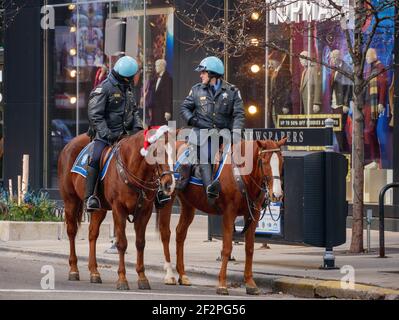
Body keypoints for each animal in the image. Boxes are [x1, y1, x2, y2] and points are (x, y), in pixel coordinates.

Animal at [57, 129, 175, 290]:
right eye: (158, 152)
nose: (169, 184)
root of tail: (68, 145)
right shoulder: (119, 209)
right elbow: (122, 243)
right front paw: (122, 279)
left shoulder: (145, 212)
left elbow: (140, 243)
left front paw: (142, 278)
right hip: (70, 201)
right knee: (71, 232)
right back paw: (74, 270)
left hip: (99, 209)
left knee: (92, 234)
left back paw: (94, 272)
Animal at [158, 138, 286, 296]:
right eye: (264, 161)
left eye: (281, 161)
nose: (277, 195)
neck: (242, 174)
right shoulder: (229, 214)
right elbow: (226, 248)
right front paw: (222, 284)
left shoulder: (252, 215)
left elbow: (249, 248)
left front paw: (250, 283)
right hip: (168, 198)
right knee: (165, 233)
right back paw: (169, 275)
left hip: (188, 204)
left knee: (180, 233)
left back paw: (183, 275)